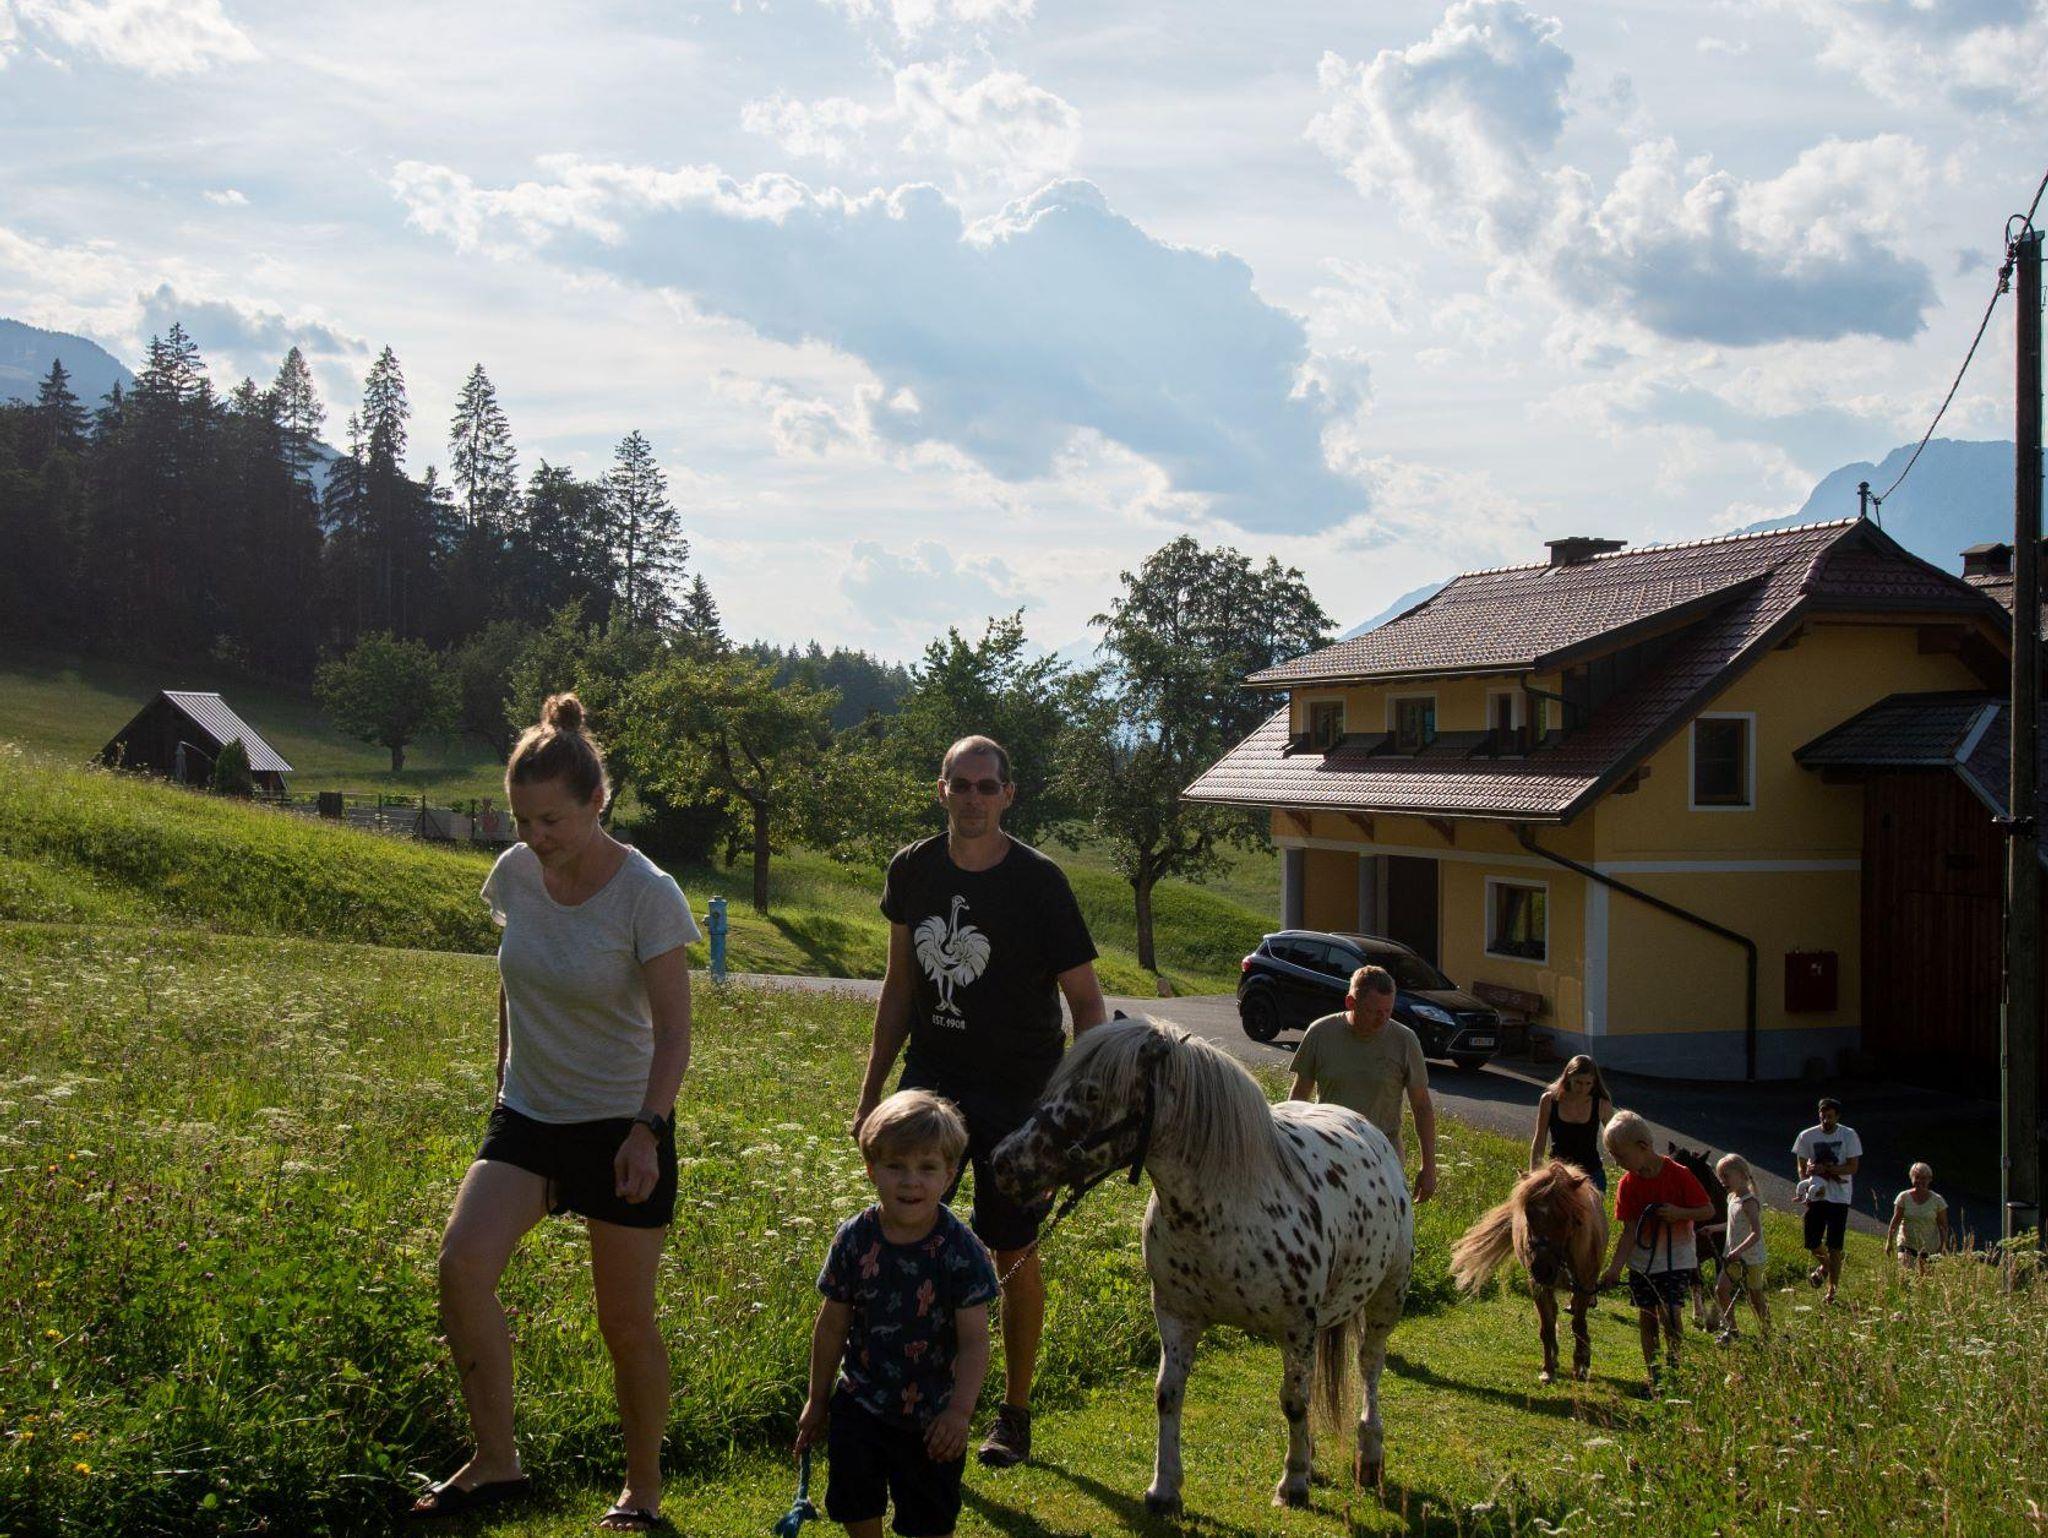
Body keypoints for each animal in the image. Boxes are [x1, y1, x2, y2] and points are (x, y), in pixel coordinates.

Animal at [989, 1018, 1413, 1516]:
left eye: (1092, 1093)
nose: (1002, 1162)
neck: (1226, 1209)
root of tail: (1366, 1126)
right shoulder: (1176, 1316)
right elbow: (1168, 1395)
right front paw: (1164, 1488)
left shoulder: (1297, 1329)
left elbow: (1293, 1401)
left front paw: (1292, 1484)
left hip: (1387, 1297)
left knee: (1369, 1366)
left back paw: (1369, 1454)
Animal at [1449, 1161, 1608, 1383]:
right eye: (1528, 1214)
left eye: (1565, 1216)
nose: (1542, 1269)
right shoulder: (1538, 1286)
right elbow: (1547, 1327)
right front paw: (1548, 1369)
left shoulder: (1584, 1285)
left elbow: (1578, 1324)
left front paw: (1581, 1365)